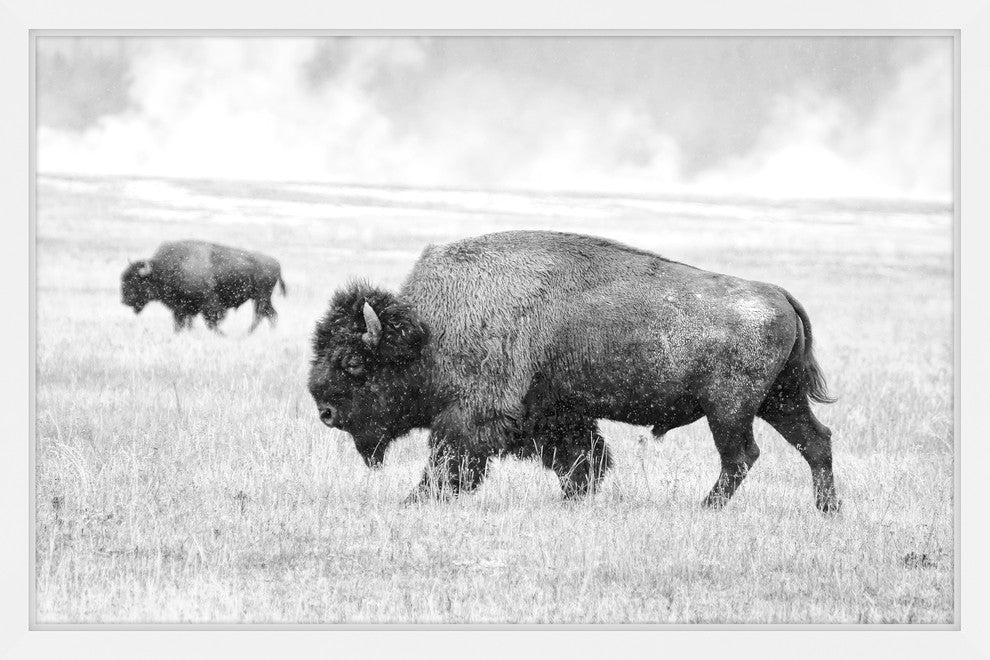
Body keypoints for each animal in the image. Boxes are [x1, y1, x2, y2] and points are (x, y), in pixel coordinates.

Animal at [121, 240, 286, 334]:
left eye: (136, 281)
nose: (124, 301)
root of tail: (276, 263)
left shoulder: (209, 305)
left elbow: (211, 321)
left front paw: (220, 334)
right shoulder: (182, 308)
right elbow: (182, 323)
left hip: (261, 297)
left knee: (260, 315)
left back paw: (248, 333)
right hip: (262, 298)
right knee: (271, 314)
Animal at [308, 230, 839, 512]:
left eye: (353, 362)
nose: (325, 411)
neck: (430, 330)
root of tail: (776, 292)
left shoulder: (474, 416)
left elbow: (449, 461)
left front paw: (416, 501)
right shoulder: (554, 414)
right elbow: (584, 458)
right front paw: (573, 500)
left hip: (729, 409)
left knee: (742, 456)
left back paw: (704, 510)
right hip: (779, 400)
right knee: (816, 441)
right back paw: (827, 512)